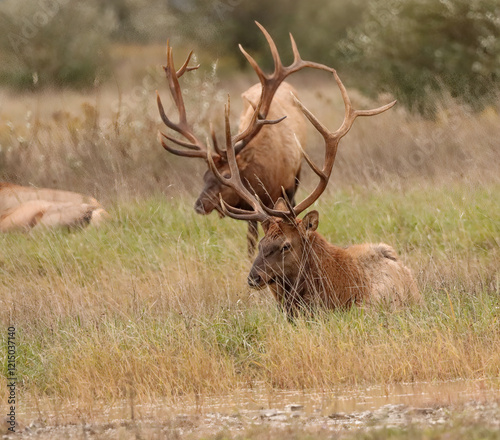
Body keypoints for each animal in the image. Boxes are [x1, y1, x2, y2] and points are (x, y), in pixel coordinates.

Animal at [156, 23, 336, 258]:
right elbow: (251, 237)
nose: (199, 205)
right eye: (204, 175)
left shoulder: (286, 188)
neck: (264, 176)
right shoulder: (253, 205)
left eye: (225, 176)